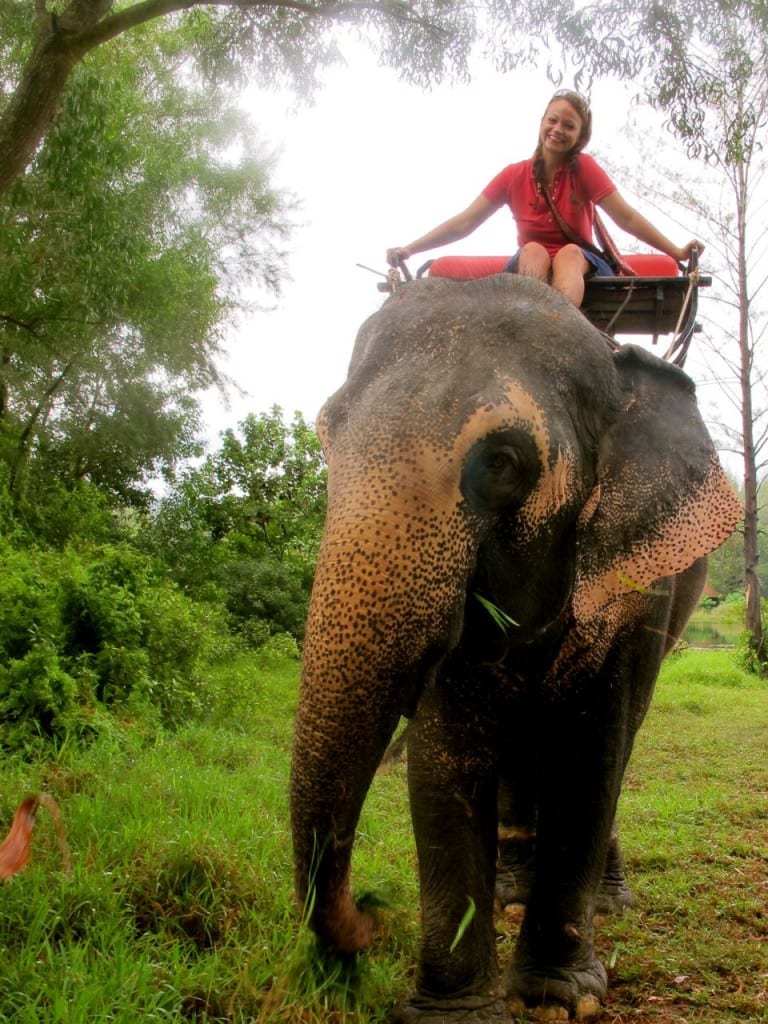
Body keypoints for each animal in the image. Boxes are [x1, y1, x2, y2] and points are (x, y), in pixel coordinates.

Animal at [290, 274, 741, 1022]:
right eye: (327, 435)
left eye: (501, 462)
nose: (370, 921)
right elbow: (446, 756)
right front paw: (455, 1011)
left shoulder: (634, 586)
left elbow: (591, 752)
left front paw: (559, 999)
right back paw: (509, 892)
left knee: (615, 748)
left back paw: (605, 903)